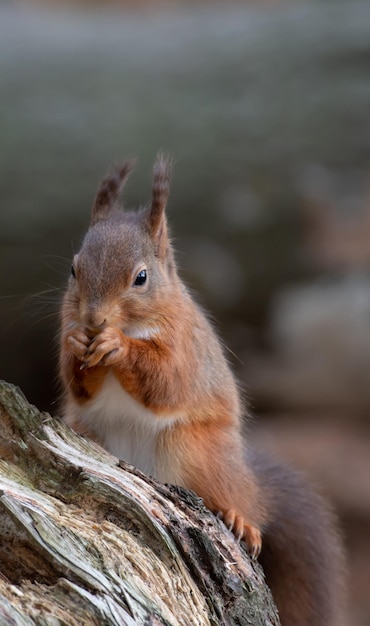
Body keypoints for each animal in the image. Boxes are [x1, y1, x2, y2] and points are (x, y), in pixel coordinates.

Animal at [59, 152, 346, 624]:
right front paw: (79, 345)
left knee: (236, 497)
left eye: (141, 278)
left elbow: (166, 384)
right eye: (73, 268)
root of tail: (249, 481)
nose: (95, 320)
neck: (137, 324)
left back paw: (241, 517)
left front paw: (118, 346)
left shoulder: (185, 350)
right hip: (91, 435)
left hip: (193, 447)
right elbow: (78, 385)